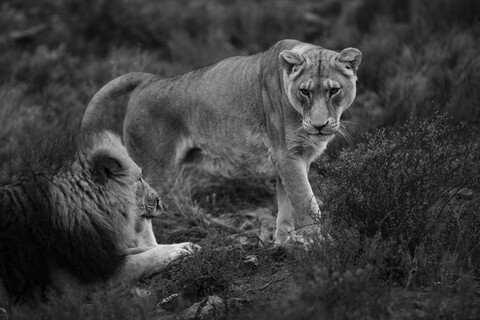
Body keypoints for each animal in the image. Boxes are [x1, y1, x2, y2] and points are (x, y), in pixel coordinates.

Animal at [0, 128, 197, 318]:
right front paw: (176, 250)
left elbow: (136, 251)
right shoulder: (70, 284)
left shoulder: (99, 251)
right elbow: (135, 262)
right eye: (140, 178)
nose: (159, 200)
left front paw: (185, 245)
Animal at [81, 40, 360, 245]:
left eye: (334, 90)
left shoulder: (290, 159)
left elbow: (286, 204)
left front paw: (284, 243)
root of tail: (150, 80)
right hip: (153, 168)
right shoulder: (287, 155)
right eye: (305, 91)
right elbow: (305, 201)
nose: (319, 125)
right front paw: (319, 242)